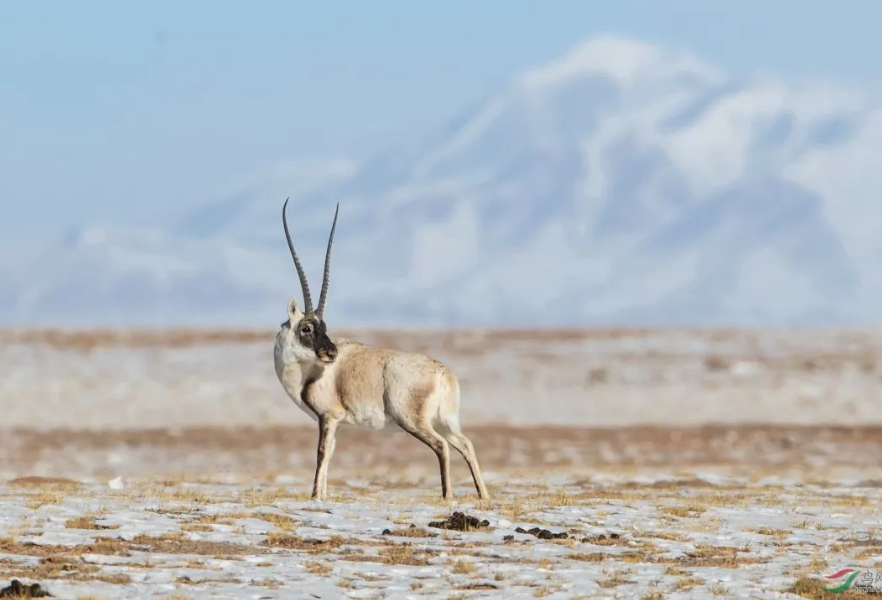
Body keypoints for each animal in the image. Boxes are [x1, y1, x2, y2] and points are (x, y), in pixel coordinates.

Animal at [274, 198, 488, 502]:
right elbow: (331, 455)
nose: (331, 353)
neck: (308, 371)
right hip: (445, 421)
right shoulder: (338, 424)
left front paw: (315, 496)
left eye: (321, 326)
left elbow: (321, 454)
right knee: (466, 444)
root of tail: (443, 374)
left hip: (414, 421)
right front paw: (323, 496)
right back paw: (483, 496)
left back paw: (447, 496)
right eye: (307, 328)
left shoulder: (328, 418)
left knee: (441, 446)